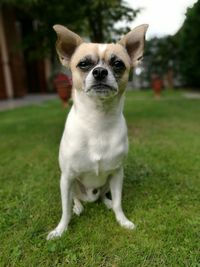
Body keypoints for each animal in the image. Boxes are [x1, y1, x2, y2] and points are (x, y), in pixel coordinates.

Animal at [46, 23, 148, 241]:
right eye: (83, 64)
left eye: (118, 64)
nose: (100, 71)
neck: (97, 121)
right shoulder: (67, 176)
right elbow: (65, 210)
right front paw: (60, 230)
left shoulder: (117, 173)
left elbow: (118, 202)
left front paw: (122, 220)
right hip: (71, 184)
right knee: (75, 199)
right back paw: (78, 207)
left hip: (108, 182)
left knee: (102, 194)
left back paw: (105, 202)